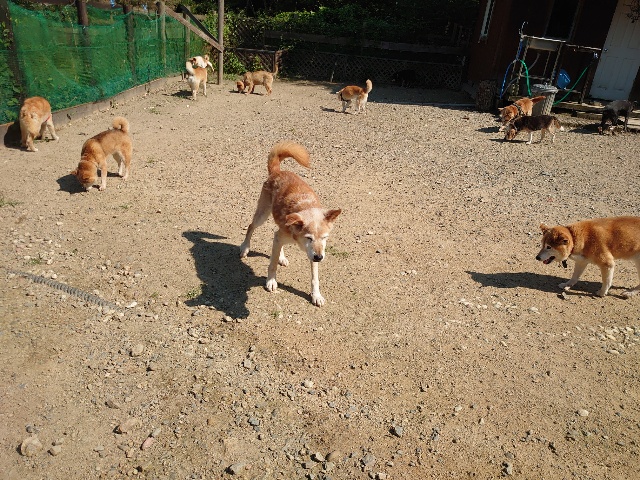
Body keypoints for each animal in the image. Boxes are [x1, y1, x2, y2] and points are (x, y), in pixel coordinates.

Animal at [239, 141, 341, 306]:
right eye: (308, 238)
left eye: (325, 238)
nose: (319, 257)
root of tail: (278, 171)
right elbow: (272, 264)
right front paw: (271, 281)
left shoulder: (313, 253)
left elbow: (315, 278)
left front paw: (316, 295)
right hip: (262, 215)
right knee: (251, 227)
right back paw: (245, 247)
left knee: (275, 236)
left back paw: (281, 256)